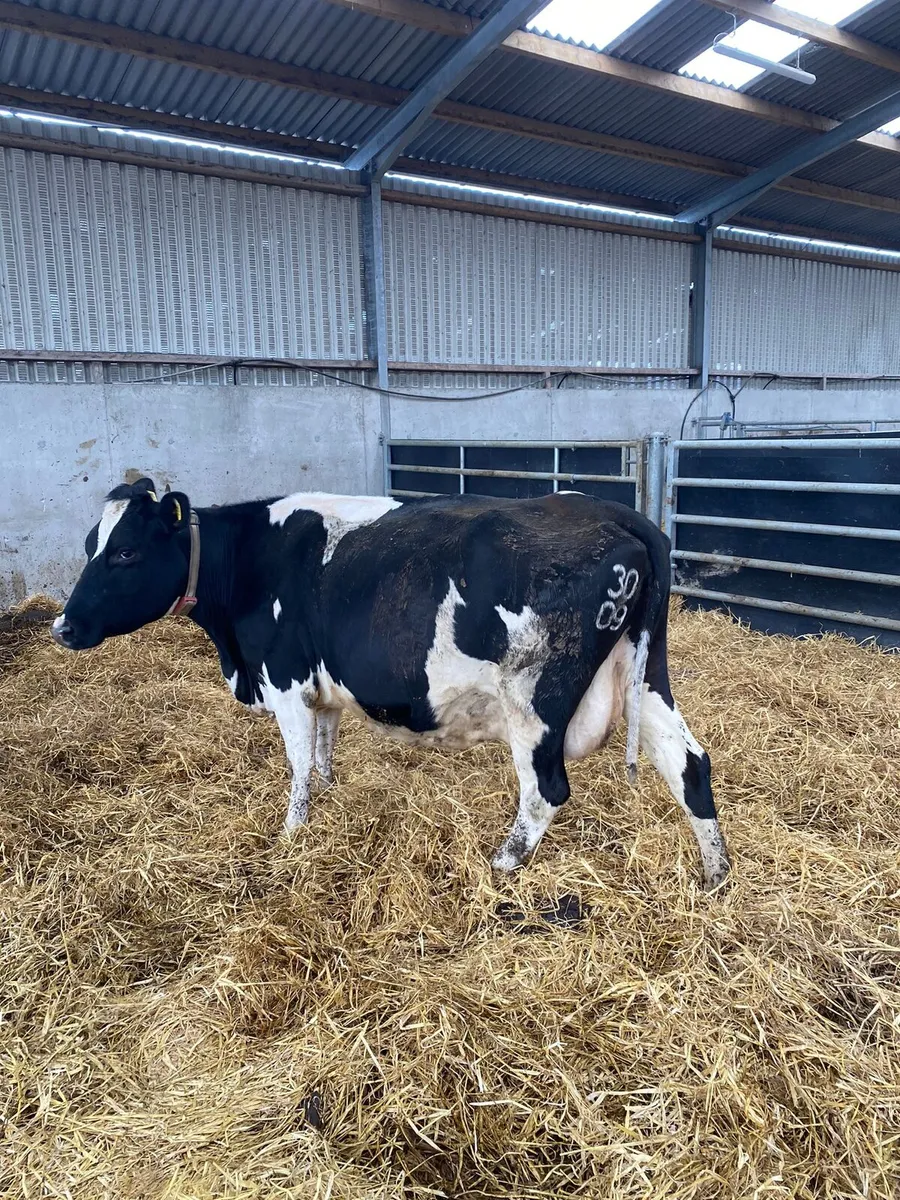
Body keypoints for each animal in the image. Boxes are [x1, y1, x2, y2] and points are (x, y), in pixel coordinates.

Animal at [51, 478, 729, 889]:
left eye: (126, 553)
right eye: (89, 545)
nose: (62, 626)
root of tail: (612, 512)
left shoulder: (285, 681)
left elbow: (297, 766)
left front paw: (291, 836)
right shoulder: (320, 690)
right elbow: (322, 757)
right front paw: (326, 804)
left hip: (533, 702)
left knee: (545, 791)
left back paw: (500, 866)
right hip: (643, 676)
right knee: (690, 763)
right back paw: (715, 876)